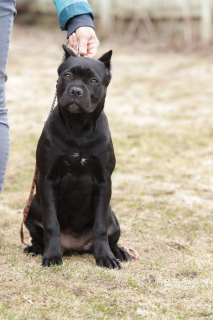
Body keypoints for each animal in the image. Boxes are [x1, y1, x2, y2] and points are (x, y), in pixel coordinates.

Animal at [23, 46, 130, 268]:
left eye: (94, 81)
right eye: (67, 75)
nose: (75, 91)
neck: (78, 125)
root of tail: (75, 247)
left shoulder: (104, 182)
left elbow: (100, 227)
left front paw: (105, 257)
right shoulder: (47, 179)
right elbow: (51, 224)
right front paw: (51, 255)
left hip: (113, 217)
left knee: (111, 235)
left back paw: (118, 252)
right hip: (30, 211)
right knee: (38, 236)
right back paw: (35, 249)